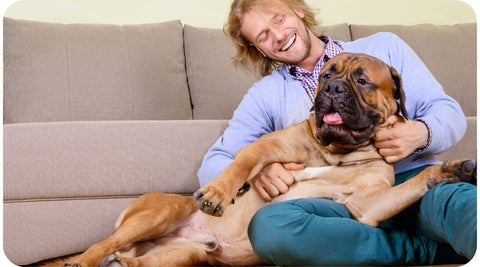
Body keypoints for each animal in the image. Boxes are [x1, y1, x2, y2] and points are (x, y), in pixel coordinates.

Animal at [61, 52, 476, 267]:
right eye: (325, 74)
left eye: (362, 81)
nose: (331, 88)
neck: (336, 152)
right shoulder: (266, 148)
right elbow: (242, 163)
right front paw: (217, 193)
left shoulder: (368, 204)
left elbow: (415, 182)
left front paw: (453, 168)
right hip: (159, 213)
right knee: (102, 245)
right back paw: (83, 260)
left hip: (181, 257)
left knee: (131, 261)